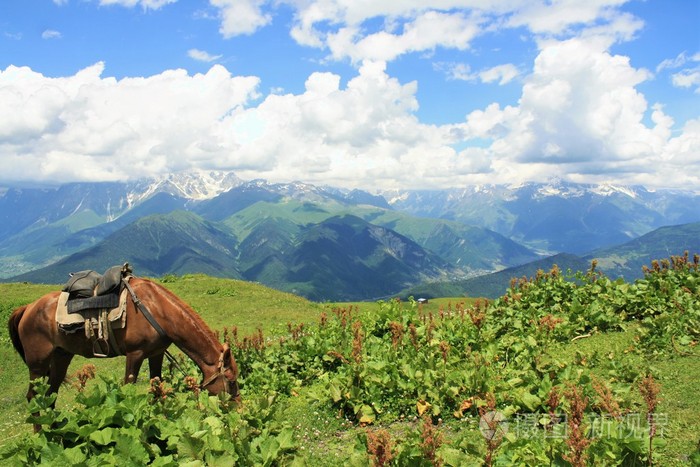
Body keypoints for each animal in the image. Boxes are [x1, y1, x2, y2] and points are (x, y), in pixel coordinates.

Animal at [7, 278, 241, 432]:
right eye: (230, 381)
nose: (239, 409)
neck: (157, 310)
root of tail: (27, 308)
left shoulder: (156, 354)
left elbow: (157, 389)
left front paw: (161, 420)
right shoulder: (135, 354)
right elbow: (128, 390)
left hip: (61, 357)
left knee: (50, 395)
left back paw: (56, 433)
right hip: (38, 364)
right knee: (34, 397)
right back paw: (40, 435)